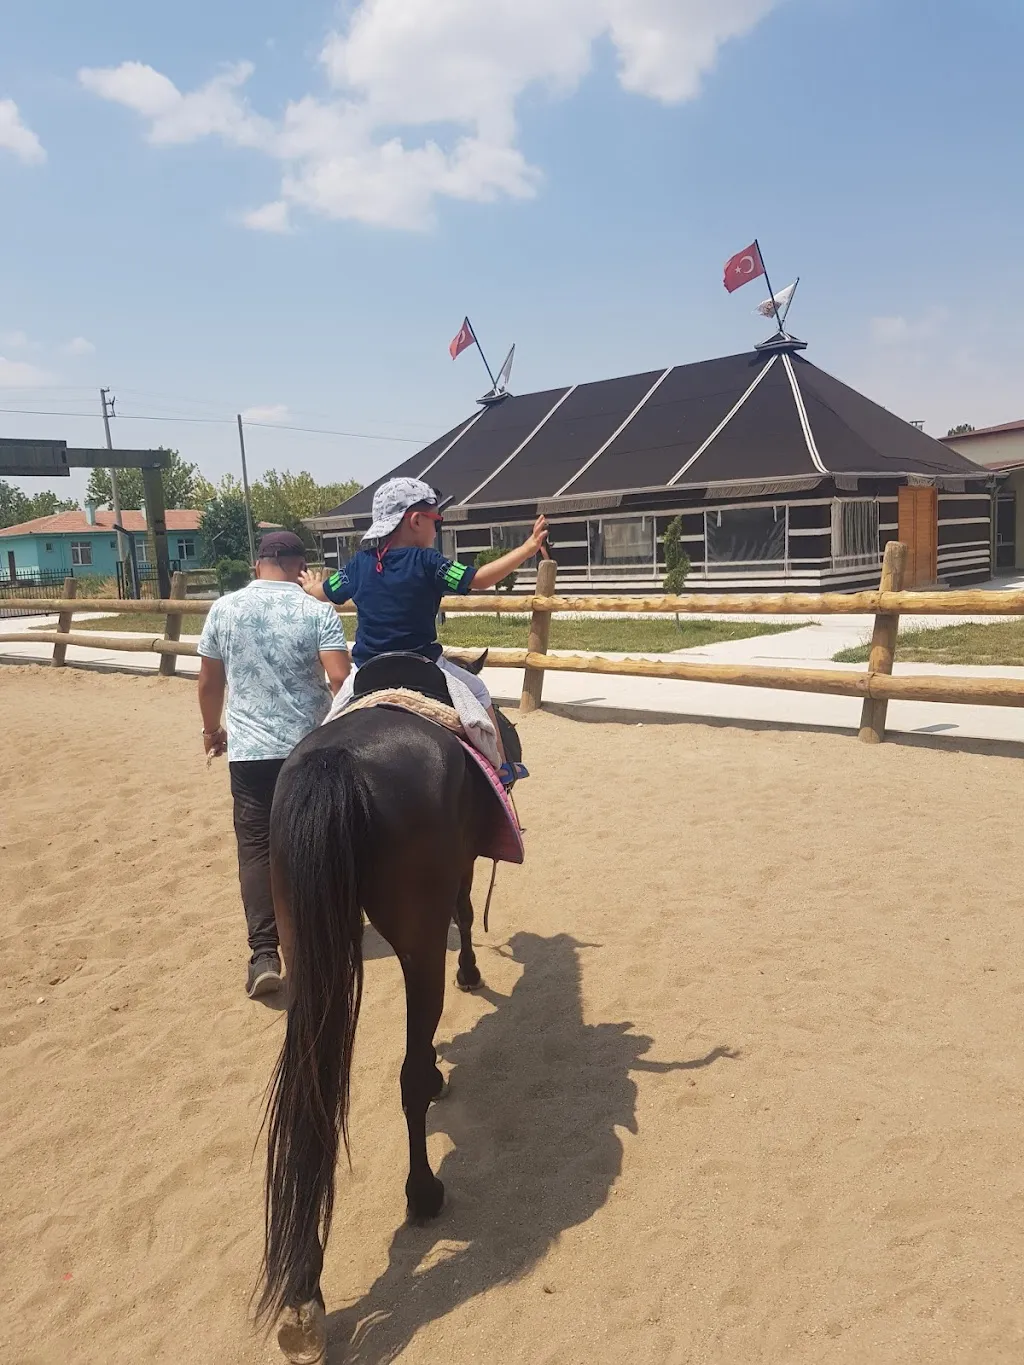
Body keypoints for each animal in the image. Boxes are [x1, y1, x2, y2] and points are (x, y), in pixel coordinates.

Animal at [256, 657, 521, 1354]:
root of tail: (340, 762)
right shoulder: (457, 873)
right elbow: (464, 911)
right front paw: (471, 975)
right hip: (416, 937)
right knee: (407, 1076)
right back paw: (424, 1192)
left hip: (303, 940)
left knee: (314, 1093)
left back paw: (304, 1296)